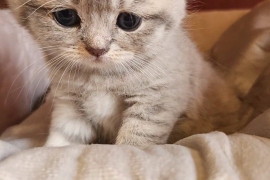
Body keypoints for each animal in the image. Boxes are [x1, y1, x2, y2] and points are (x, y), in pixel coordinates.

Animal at [7, 0, 242, 148]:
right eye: (66, 16)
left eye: (128, 20)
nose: (97, 49)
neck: (100, 78)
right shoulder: (69, 105)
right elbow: (62, 139)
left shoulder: (155, 101)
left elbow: (135, 143)